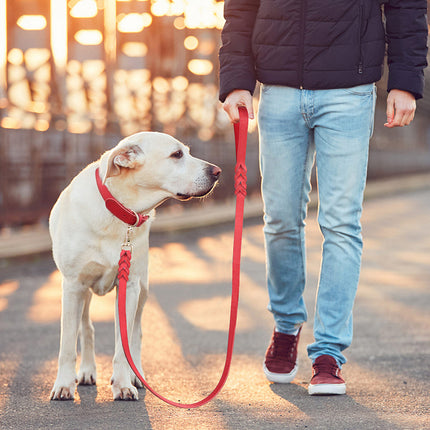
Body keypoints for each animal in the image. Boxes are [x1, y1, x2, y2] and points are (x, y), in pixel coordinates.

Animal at [48, 133, 220, 402]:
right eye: (177, 155)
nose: (217, 172)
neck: (119, 210)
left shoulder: (129, 287)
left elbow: (124, 344)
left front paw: (122, 384)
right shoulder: (73, 286)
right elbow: (67, 344)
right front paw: (64, 385)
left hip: (143, 289)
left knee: (135, 334)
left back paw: (136, 375)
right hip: (84, 293)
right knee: (86, 328)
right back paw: (87, 371)